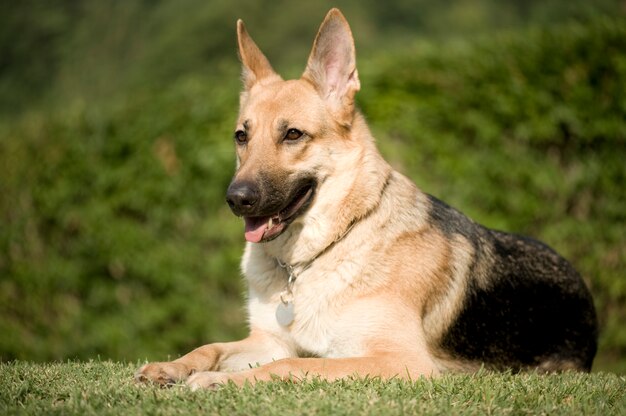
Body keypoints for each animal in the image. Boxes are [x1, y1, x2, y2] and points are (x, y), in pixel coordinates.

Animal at [136, 7, 596, 390]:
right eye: (241, 136)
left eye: (293, 135)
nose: (236, 199)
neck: (316, 256)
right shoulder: (268, 341)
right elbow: (211, 347)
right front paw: (172, 367)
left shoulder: (398, 361)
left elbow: (291, 365)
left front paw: (219, 381)